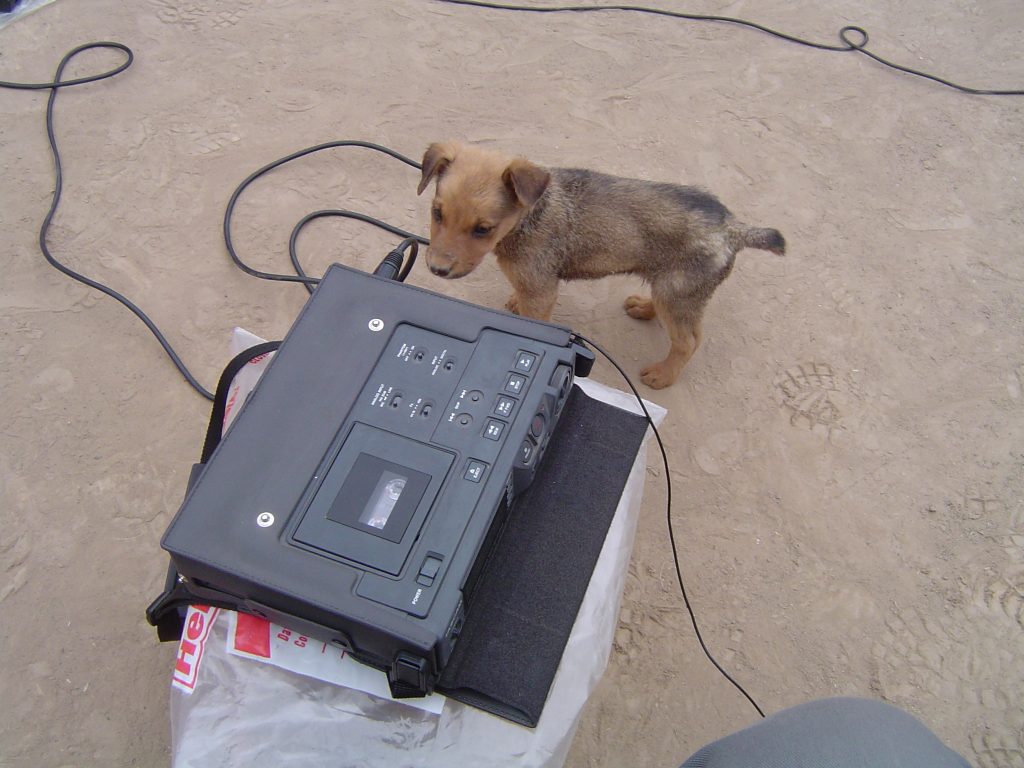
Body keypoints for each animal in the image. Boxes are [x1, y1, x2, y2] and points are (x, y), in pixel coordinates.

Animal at [415, 140, 782, 387]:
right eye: (437, 213)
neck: (530, 215)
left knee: (688, 341)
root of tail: (732, 228)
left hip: (680, 293)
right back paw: (643, 307)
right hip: (669, 286)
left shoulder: (541, 290)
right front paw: (515, 302)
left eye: (483, 229)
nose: (436, 269)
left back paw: (662, 375)